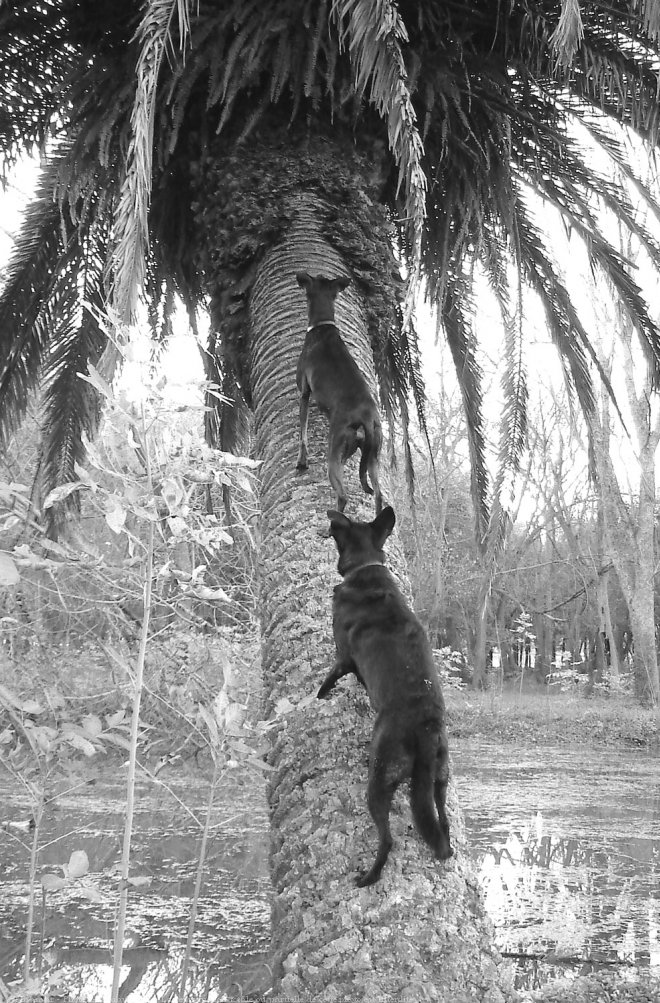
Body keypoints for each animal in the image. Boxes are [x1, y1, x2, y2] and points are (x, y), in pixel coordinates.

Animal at [292, 270, 381, 513]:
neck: (323, 325)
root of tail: (366, 417)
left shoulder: (304, 392)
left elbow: (302, 432)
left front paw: (302, 461)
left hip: (336, 449)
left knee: (343, 496)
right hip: (373, 456)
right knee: (379, 495)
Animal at [316, 509, 453, 886]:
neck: (367, 567)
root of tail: (426, 728)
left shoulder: (343, 657)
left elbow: (328, 679)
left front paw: (318, 696)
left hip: (379, 779)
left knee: (387, 839)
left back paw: (368, 877)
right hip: (440, 780)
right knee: (443, 823)